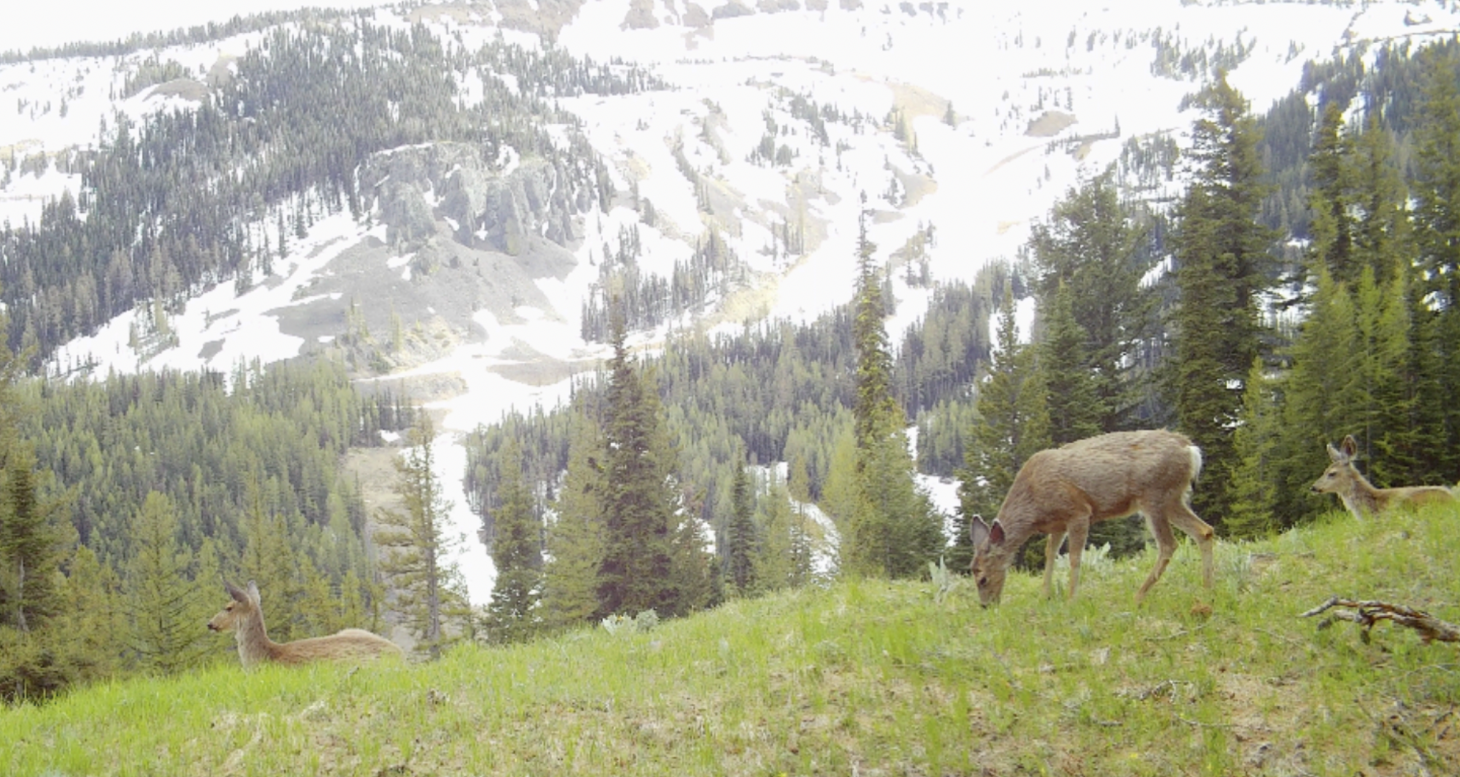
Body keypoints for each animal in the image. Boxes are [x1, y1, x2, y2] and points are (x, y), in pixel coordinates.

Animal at [969, 429, 1215, 607]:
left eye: (982, 578)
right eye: (972, 571)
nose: (985, 606)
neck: (1033, 506)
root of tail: (1190, 450)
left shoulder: (1078, 511)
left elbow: (1074, 557)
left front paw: (1071, 599)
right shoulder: (1057, 525)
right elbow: (1050, 554)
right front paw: (1044, 595)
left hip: (1154, 495)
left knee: (1168, 544)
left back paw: (1138, 596)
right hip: (1172, 498)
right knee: (1204, 530)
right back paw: (1206, 589)